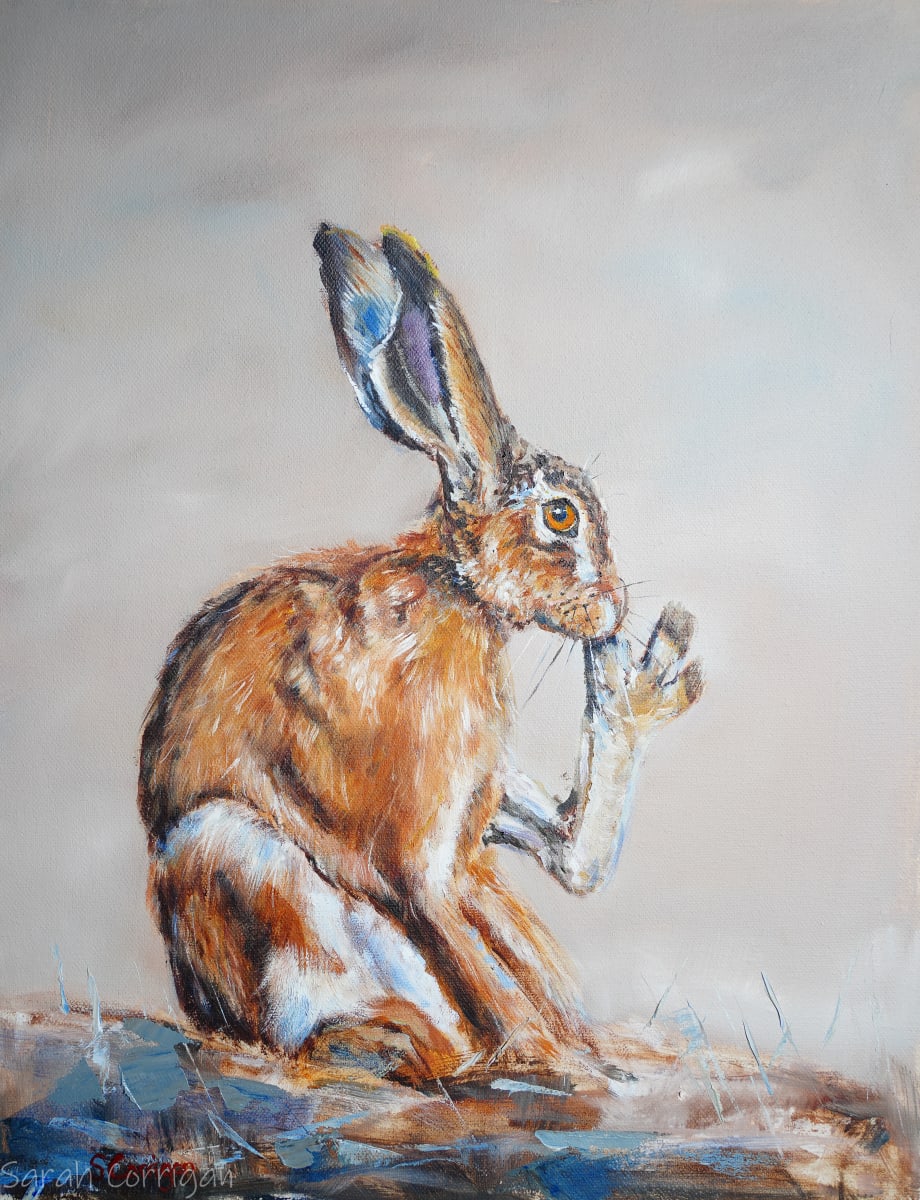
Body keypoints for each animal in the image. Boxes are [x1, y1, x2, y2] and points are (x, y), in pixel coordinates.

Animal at [138, 224, 704, 1084]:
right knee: (302, 1030)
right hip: (231, 857)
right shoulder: (418, 848)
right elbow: (457, 938)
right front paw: (547, 1061)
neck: (462, 591)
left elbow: (560, 871)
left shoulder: (479, 820)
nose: (614, 605)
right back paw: (403, 1042)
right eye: (561, 517)